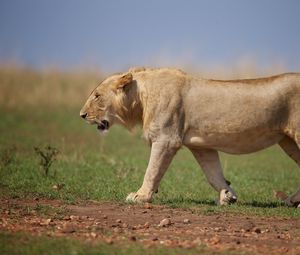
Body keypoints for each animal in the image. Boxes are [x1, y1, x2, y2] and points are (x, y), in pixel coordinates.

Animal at [79, 67, 300, 207]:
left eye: (97, 95)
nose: (81, 115)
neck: (141, 98)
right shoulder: (202, 146)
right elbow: (213, 174)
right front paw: (227, 196)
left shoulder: (166, 139)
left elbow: (152, 171)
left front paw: (140, 196)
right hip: (287, 142)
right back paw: (292, 201)